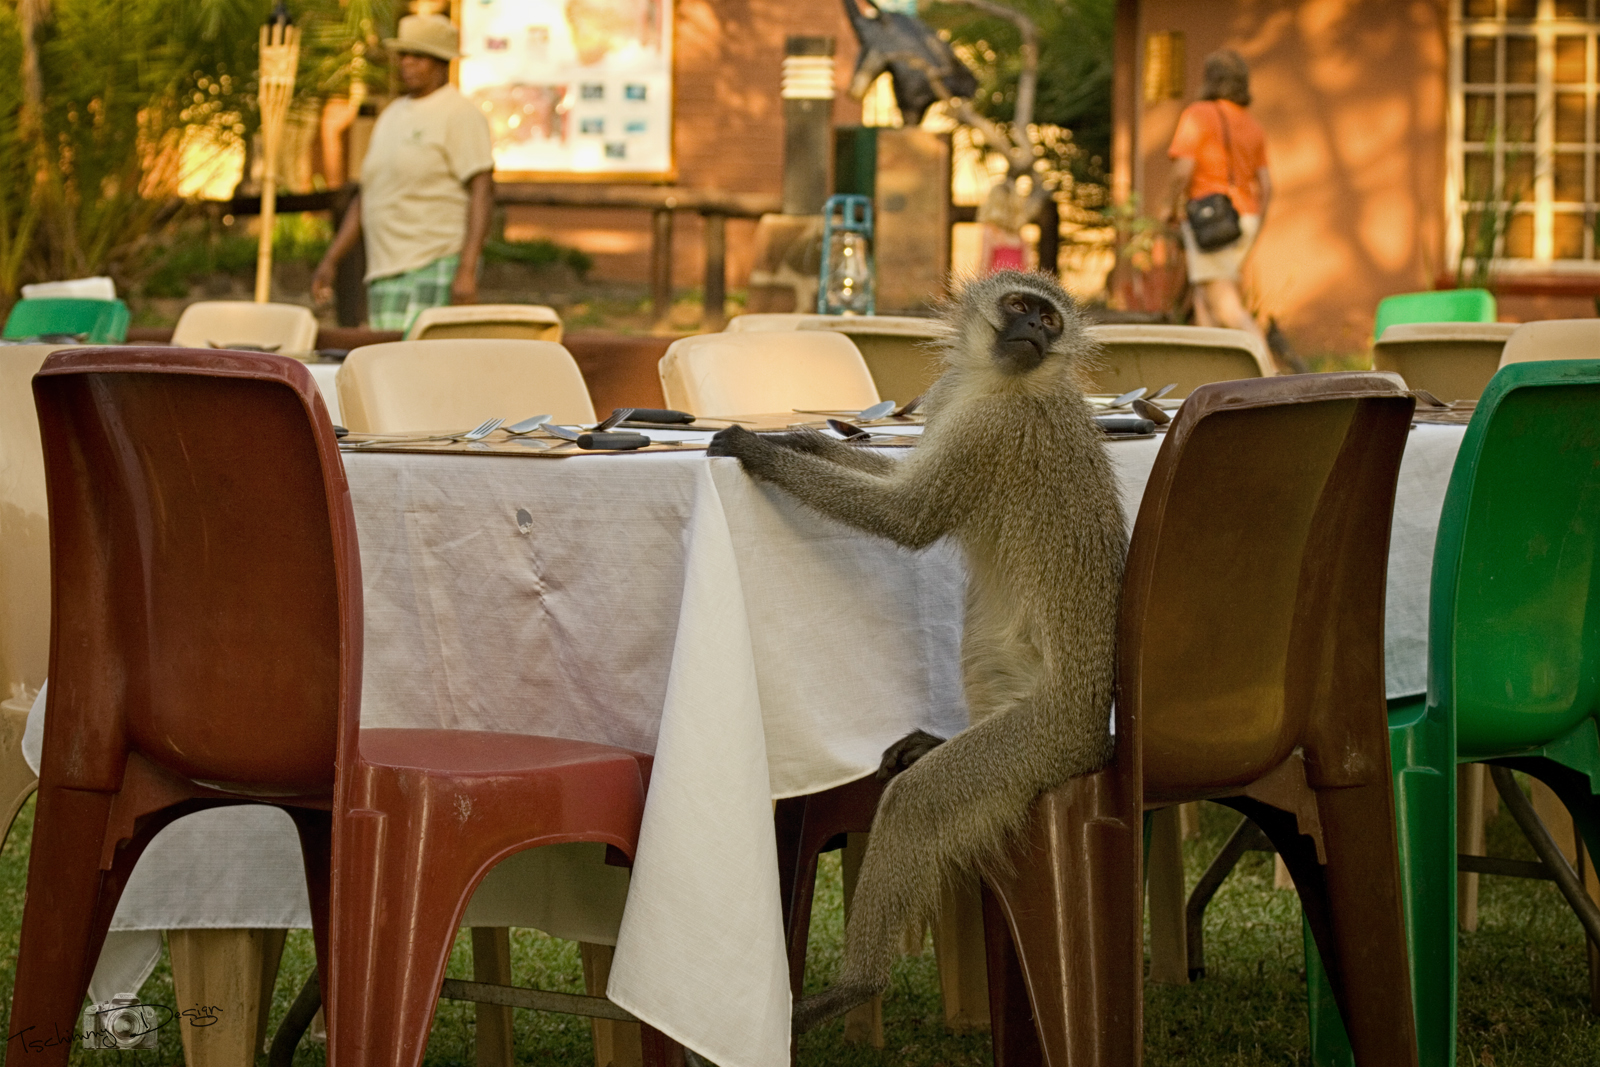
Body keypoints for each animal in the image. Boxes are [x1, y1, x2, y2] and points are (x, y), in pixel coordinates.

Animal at [707, 271, 1132, 1030]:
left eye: (1051, 319)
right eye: (1021, 307)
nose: (1035, 330)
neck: (1002, 382)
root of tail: (1095, 737)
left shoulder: (990, 433)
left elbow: (907, 515)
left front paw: (761, 451)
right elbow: (897, 478)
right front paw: (804, 437)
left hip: (1042, 737)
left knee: (918, 805)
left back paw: (855, 987)